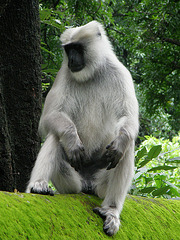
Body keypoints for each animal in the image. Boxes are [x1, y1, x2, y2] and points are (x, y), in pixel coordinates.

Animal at [26, 21, 139, 236]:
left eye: (77, 48)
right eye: (68, 49)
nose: (72, 59)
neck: (92, 73)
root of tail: (87, 184)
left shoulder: (119, 72)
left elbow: (128, 119)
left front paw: (120, 142)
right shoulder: (64, 73)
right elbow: (49, 118)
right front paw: (72, 141)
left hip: (101, 185)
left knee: (126, 146)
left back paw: (111, 210)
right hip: (71, 182)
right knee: (56, 136)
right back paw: (38, 186)